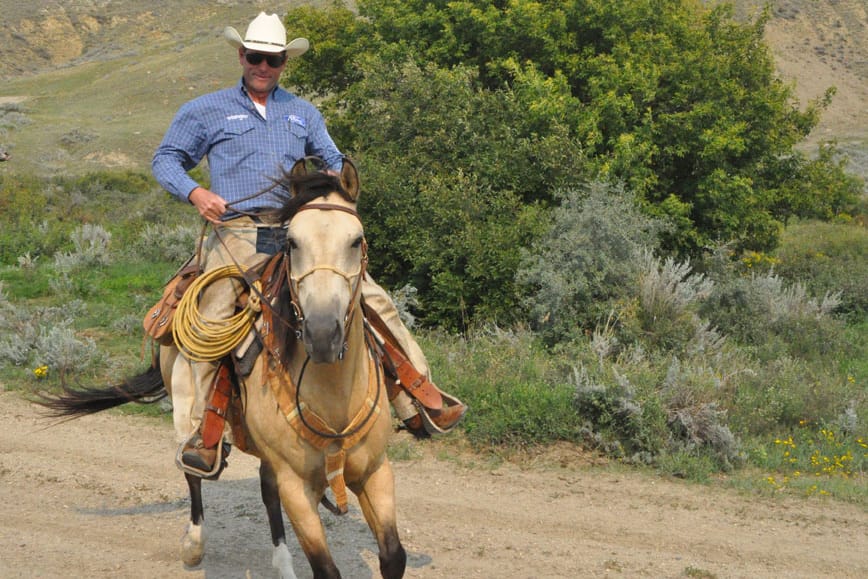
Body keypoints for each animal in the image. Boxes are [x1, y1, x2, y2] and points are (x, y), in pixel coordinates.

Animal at [38, 159, 406, 579]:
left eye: (356, 240)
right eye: (292, 243)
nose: (323, 333)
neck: (334, 398)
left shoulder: (376, 472)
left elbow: (393, 556)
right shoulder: (297, 488)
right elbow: (325, 568)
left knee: (266, 489)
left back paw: (282, 563)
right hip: (188, 399)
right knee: (192, 465)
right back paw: (194, 543)